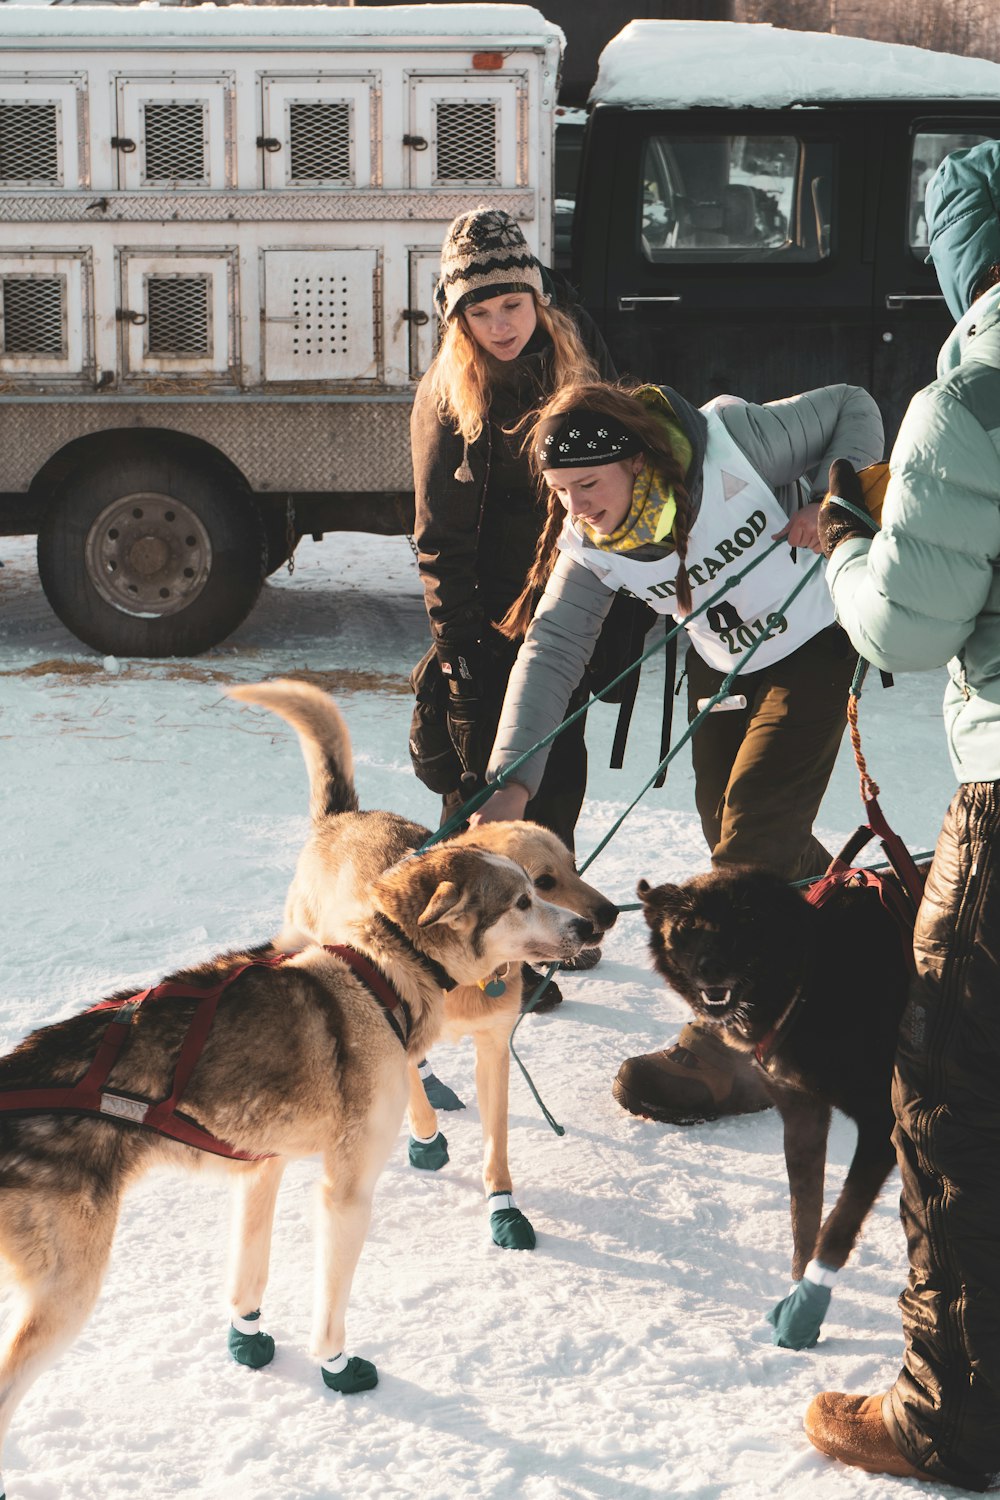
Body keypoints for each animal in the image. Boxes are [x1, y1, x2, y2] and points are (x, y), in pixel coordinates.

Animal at [0, 750, 593, 1488]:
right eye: (525, 897)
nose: (589, 927)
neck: (383, 972)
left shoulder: (262, 1165)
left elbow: (249, 1273)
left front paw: (249, 1333)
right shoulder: (346, 1191)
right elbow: (331, 1302)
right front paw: (335, 1365)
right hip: (65, 1294)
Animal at [229, 687, 617, 1248]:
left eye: (573, 866)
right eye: (543, 883)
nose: (602, 918)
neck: (467, 977)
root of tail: (342, 818)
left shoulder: (494, 1048)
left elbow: (496, 1144)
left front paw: (503, 1206)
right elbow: (414, 1098)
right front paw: (427, 1140)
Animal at [641, 870, 917, 1350]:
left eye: (744, 920)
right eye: (688, 924)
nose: (710, 968)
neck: (811, 980)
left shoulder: (883, 1122)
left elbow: (837, 1224)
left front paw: (808, 1304)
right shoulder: (802, 1114)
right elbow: (803, 1217)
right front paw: (796, 1287)